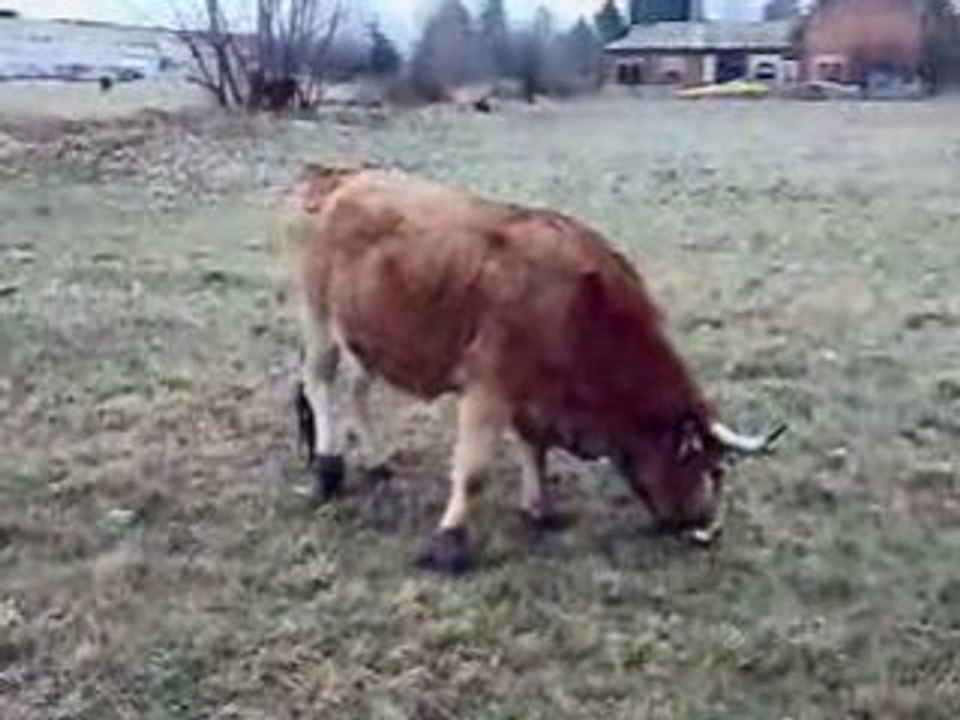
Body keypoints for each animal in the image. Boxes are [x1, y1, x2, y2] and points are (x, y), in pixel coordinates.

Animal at [282, 164, 785, 574]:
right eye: (714, 469)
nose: (709, 530)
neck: (582, 307)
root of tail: (343, 179)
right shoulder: (488, 388)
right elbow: (474, 471)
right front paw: (449, 543)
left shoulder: (533, 396)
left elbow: (534, 448)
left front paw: (538, 508)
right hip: (319, 317)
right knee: (320, 384)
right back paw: (329, 471)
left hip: (367, 335)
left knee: (357, 392)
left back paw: (377, 460)